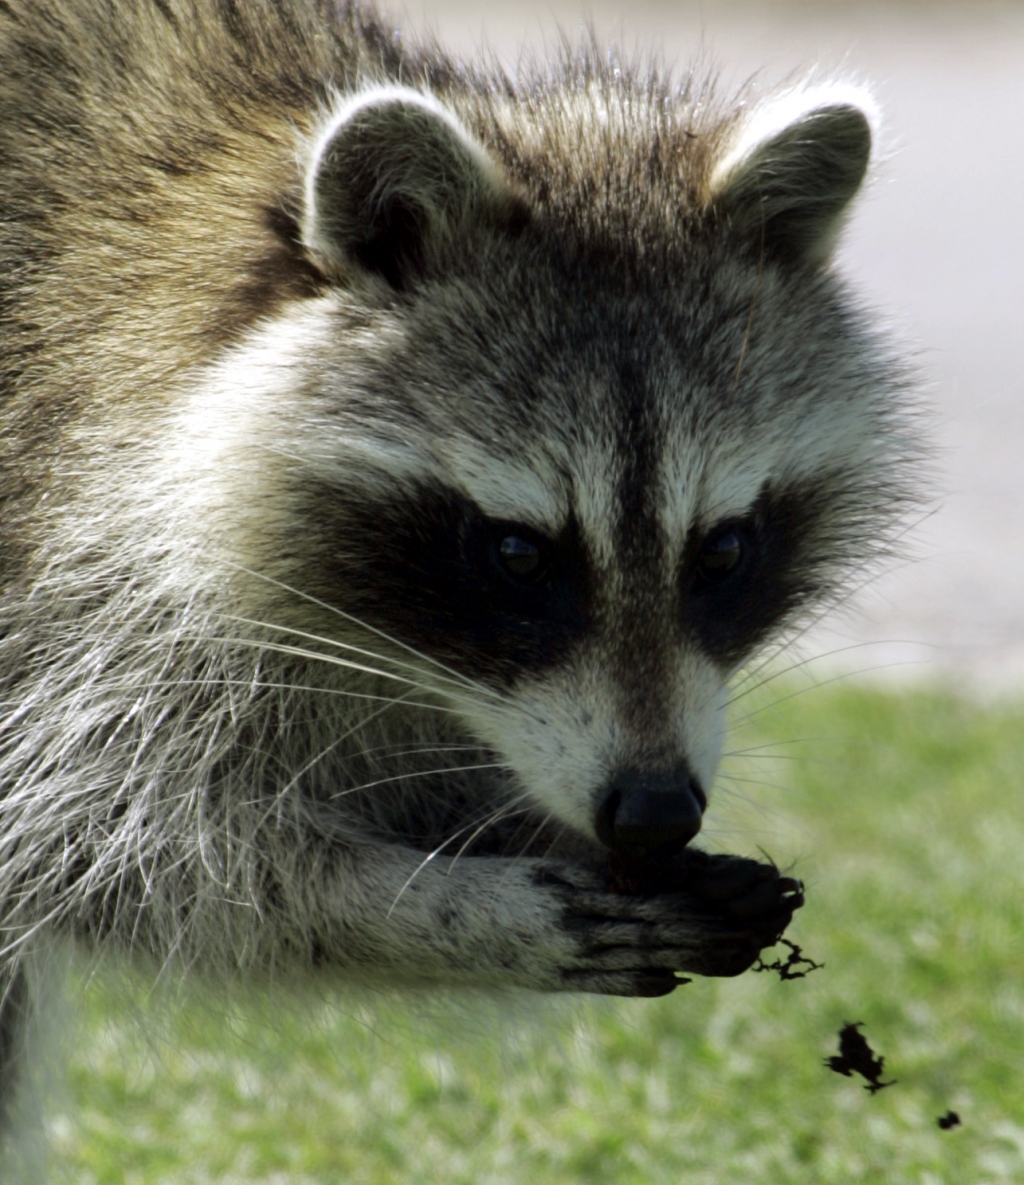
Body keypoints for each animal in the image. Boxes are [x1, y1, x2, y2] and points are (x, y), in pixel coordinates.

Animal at [0, 0, 910, 1156]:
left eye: (723, 551)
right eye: (519, 555)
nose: (654, 813)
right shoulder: (54, 554)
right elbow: (102, 847)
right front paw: (445, 908)